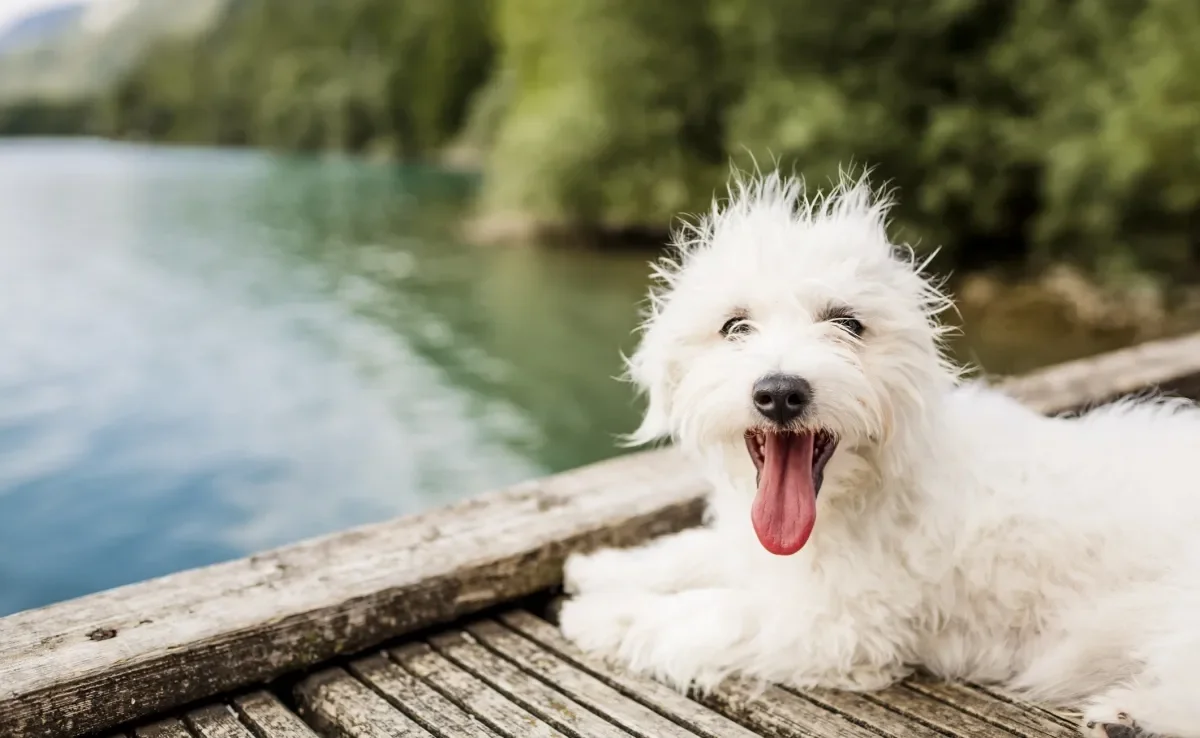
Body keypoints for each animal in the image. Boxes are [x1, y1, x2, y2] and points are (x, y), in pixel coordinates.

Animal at [556, 170, 1200, 738]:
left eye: (847, 324)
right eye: (734, 326)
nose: (780, 393)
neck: (864, 491)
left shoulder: (839, 626)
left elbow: (707, 613)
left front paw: (600, 614)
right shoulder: (761, 557)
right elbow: (690, 551)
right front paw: (600, 567)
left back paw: (1129, 718)